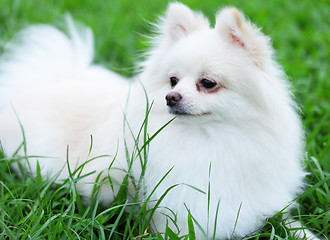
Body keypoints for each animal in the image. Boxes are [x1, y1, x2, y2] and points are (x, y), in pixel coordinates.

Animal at [0, 2, 318, 240]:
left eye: (208, 83)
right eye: (173, 80)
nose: (171, 96)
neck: (210, 139)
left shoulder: (262, 199)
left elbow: (286, 220)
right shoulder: (177, 212)